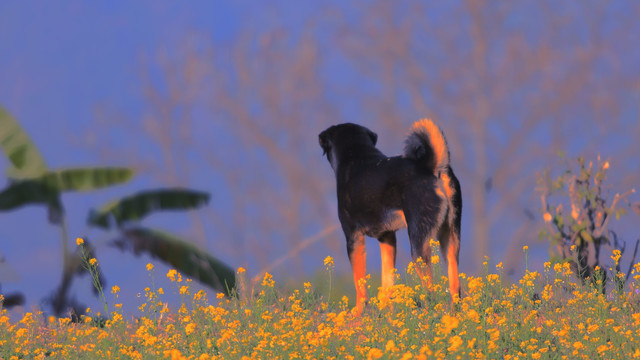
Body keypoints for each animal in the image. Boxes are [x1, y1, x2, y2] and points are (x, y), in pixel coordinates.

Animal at [318, 120, 460, 312]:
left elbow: (359, 283)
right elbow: (387, 280)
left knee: (431, 292)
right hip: (451, 239)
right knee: (455, 287)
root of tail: (431, 166)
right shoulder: (387, 237)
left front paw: (358, 315)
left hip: (419, 245)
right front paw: (386, 313)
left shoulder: (353, 237)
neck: (356, 154)